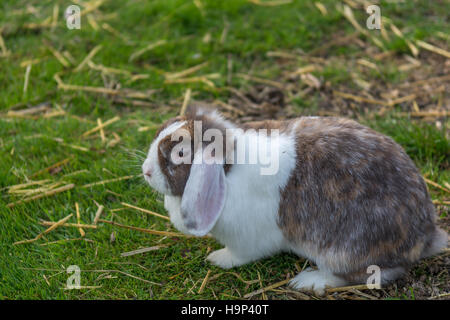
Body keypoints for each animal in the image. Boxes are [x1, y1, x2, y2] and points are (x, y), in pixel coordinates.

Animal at [141, 104, 446, 296]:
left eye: (180, 155)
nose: (146, 171)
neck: (228, 168)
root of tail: (424, 235)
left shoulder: (246, 241)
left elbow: (239, 255)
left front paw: (218, 259)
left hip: (344, 251)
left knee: (369, 273)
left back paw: (308, 281)